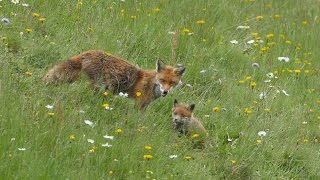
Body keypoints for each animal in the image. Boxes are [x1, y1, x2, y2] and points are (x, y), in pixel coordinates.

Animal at [43, 50, 186, 109]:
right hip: (98, 87)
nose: (165, 92)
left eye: (172, 82)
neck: (151, 84)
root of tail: (87, 53)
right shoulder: (139, 104)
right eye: (162, 80)